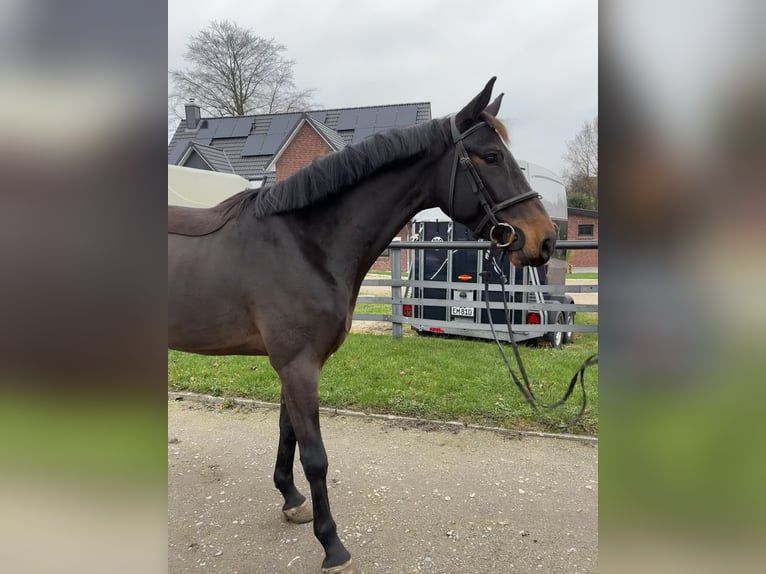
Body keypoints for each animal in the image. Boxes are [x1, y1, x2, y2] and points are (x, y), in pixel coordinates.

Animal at [168, 77, 556, 574]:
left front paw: (291, 500)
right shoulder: (298, 366)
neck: (302, 243)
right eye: (490, 156)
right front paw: (332, 546)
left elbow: (287, 433)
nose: (544, 240)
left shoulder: (295, 365)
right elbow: (315, 457)